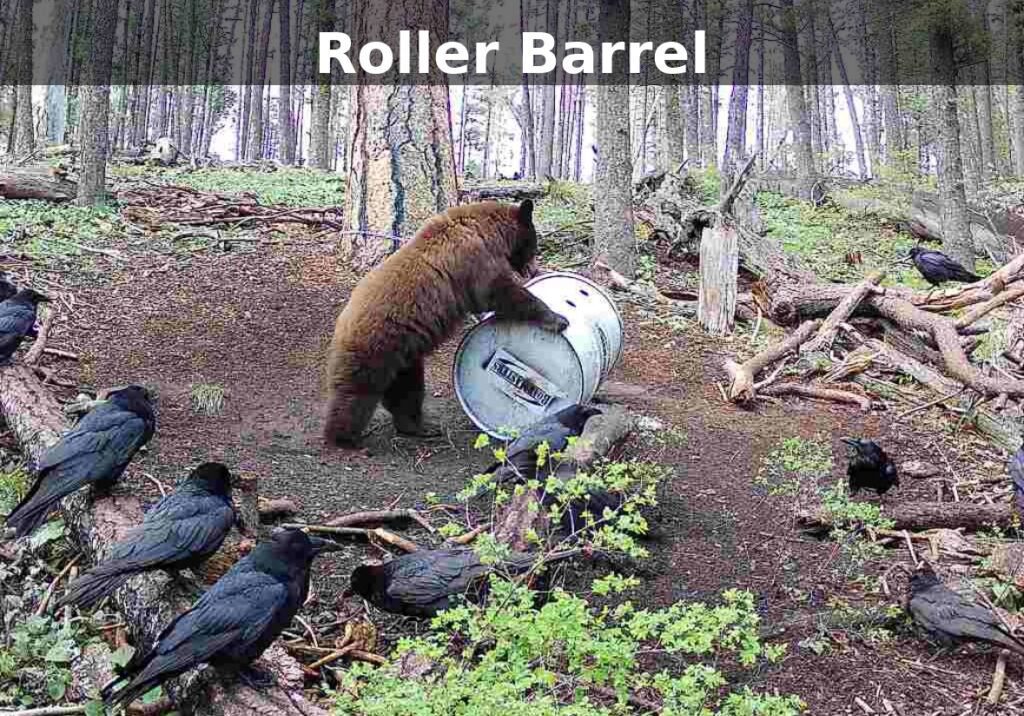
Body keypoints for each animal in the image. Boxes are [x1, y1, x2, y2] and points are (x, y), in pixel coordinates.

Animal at [324, 199, 568, 446]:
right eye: (534, 245)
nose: (535, 270)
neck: (487, 231)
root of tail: (341, 323)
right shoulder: (474, 260)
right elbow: (499, 291)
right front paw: (557, 318)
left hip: (404, 356)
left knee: (407, 390)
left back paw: (418, 427)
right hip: (376, 345)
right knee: (357, 391)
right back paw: (343, 437)